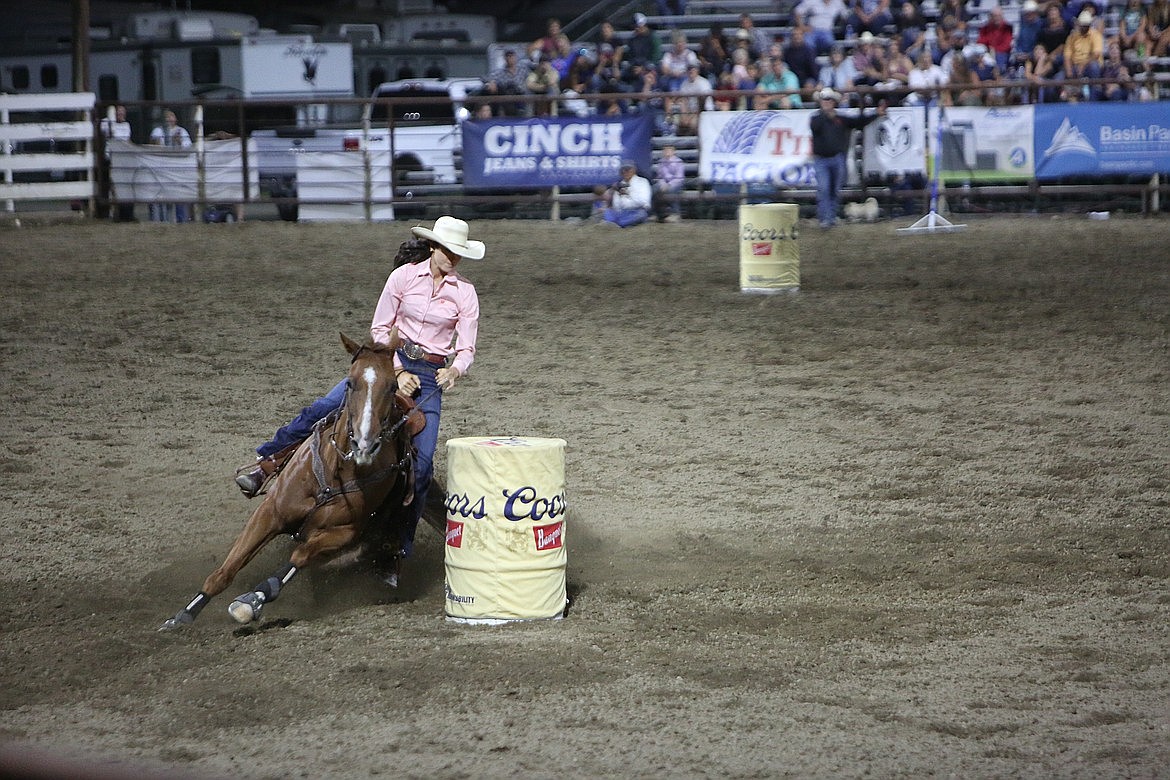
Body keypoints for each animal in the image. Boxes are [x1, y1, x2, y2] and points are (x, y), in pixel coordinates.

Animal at [162, 332, 418, 631]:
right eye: (350, 382)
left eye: (392, 386)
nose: (364, 444)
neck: (336, 472)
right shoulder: (269, 513)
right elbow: (225, 571)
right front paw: (181, 617)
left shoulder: (343, 533)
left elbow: (299, 557)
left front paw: (253, 600)